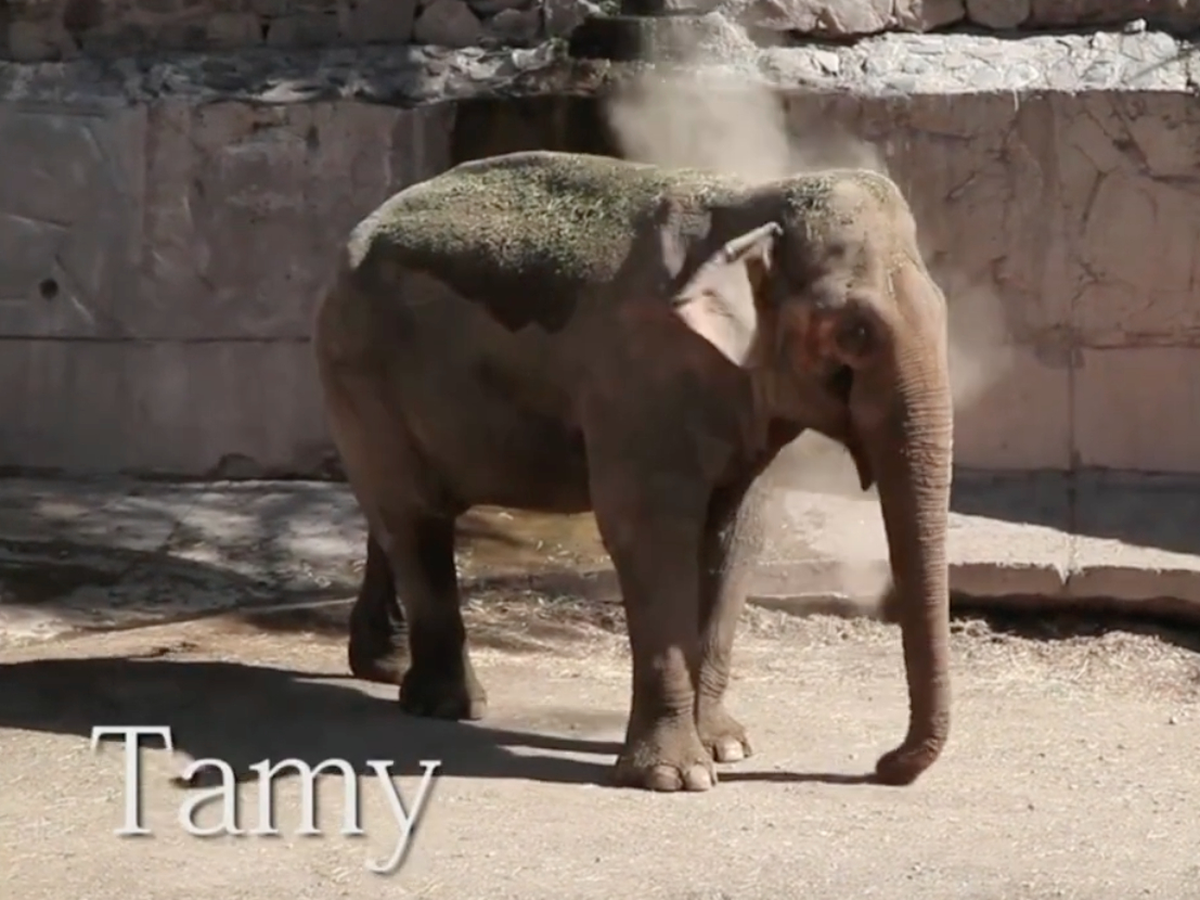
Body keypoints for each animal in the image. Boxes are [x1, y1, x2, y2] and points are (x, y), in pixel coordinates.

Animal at [312, 150, 953, 793]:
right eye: (855, 333)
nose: (883, 763)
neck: (755, 205)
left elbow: (736, 536)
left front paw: (727, 748)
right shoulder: (639, 379)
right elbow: (649, 529)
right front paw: (676, 778)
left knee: (398, 512)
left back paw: (386, 666)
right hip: (358, 364)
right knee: (413, 514)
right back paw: (450, 705)